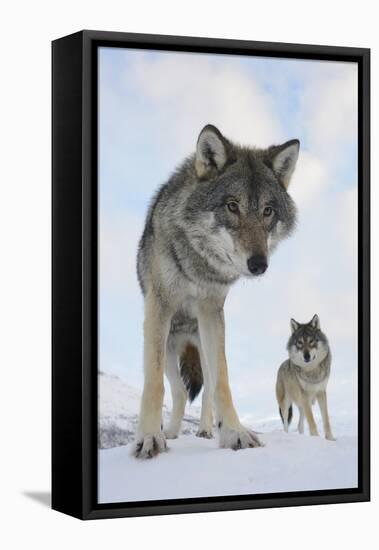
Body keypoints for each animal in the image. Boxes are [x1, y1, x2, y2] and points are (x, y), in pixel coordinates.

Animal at [133, 123, 300, 460]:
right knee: (179, 391)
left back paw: (207, 430)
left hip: (202, 344)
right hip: (169, 347)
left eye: (268, 211)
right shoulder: (159, 308)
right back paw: (170, 432)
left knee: (207, 388)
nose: (259, 264)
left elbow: (222, 383)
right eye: (232, 206)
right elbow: (153, 384)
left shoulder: (211, 311)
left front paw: (234, 433)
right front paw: (149, 437)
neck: (198, 263)